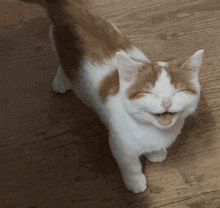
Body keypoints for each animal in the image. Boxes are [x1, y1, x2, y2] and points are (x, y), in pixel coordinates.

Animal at [45, 0, 205, 193]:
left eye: (178, 92)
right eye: (149, 92)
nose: (166, 102)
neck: (152, 130)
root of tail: (70, 8)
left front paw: (155, 153)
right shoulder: (119, 143)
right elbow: (131, 165)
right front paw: (135, 181)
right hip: (56, 43)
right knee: (61, 63)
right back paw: (62, 80)